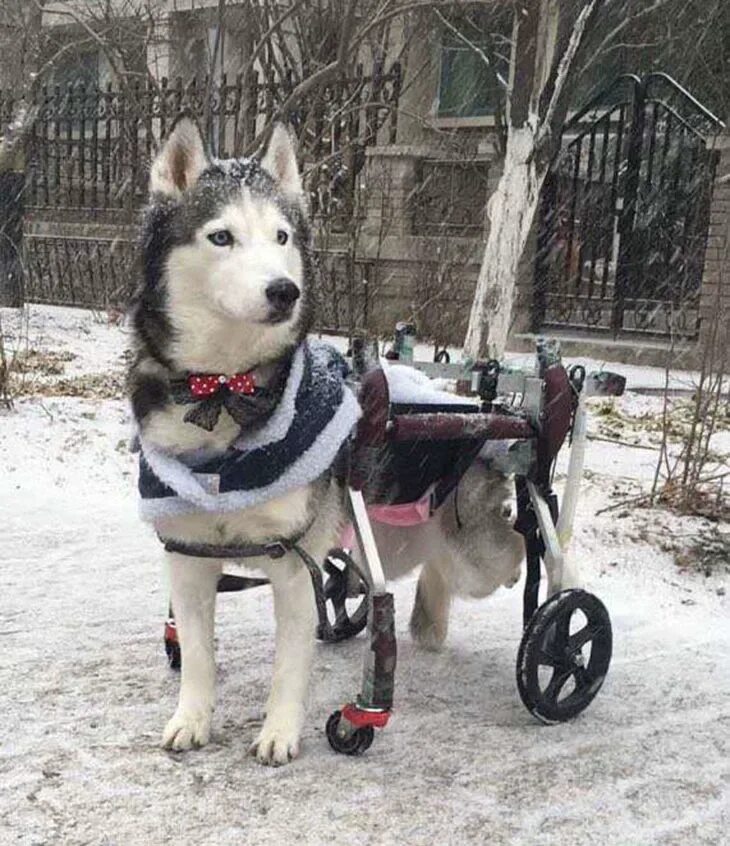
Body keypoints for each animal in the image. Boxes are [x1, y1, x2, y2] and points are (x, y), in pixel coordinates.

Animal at [129, 117, 524, 768]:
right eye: (221, 237)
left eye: (282, 235)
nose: (284, 290)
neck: (226, 391)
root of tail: (468, 405)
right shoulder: (186, 556)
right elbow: (200, 656)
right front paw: (191, 718)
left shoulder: (289, 563)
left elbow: (289, 666)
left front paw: (282, 732)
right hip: (377, 532)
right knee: (400, 570)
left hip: (469, 549)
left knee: (511, 553)